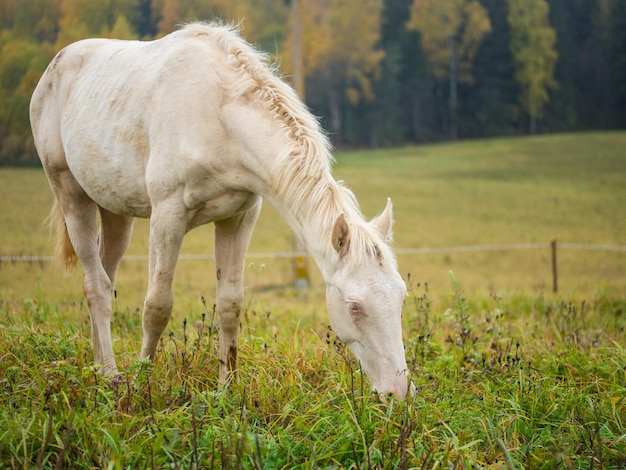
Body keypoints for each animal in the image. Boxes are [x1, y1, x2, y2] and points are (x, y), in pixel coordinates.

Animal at [29, 21, 412, 396]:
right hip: (70, 193)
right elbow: (157, 306)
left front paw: (226, 389)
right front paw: (142, 385)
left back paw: (98, 368)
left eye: (401, 296)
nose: (399, 391)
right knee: (96, 287)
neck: (218, 114)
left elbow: (230, 305)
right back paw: (111, 375)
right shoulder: (167, 217)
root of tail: (55, 66)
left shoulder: (238, 217)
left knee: (105, 278)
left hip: (115, 212)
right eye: (354, 306)